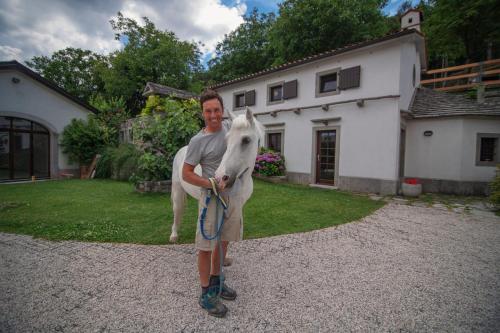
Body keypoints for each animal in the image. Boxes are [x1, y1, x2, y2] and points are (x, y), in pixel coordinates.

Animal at [169, 108, 264, 241]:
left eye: (246, 140)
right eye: (227, 139)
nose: (220, 177)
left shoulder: (239, 206)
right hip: (177, 190)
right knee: (177, 210)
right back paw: (174, 235)